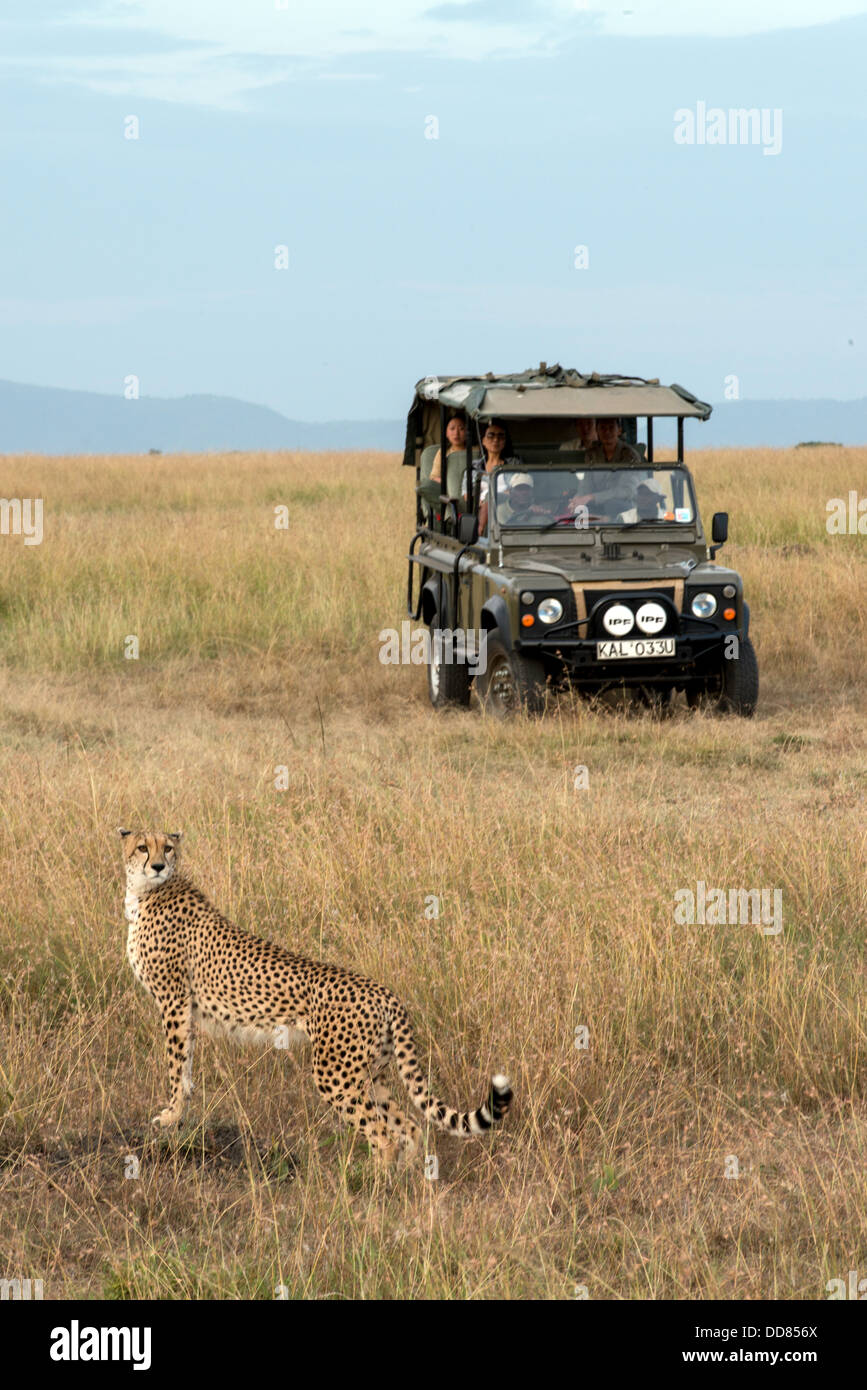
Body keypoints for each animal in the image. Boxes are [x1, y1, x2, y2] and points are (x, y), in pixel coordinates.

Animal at [120, 834, 514, 1162]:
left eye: (167, 847)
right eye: (142, 847)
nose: (158, 865)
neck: (146, 892)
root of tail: (386, 992)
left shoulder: (173, 1001)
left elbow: (175, 1063)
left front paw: (170, 1115)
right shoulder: (182, 1008)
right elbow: (185, 1064)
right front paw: (178, 1111)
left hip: (335, 1074)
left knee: (384, 1135)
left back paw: (374, 1188)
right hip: (371, 1073)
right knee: (411, 1127)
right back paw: (410, 1185)